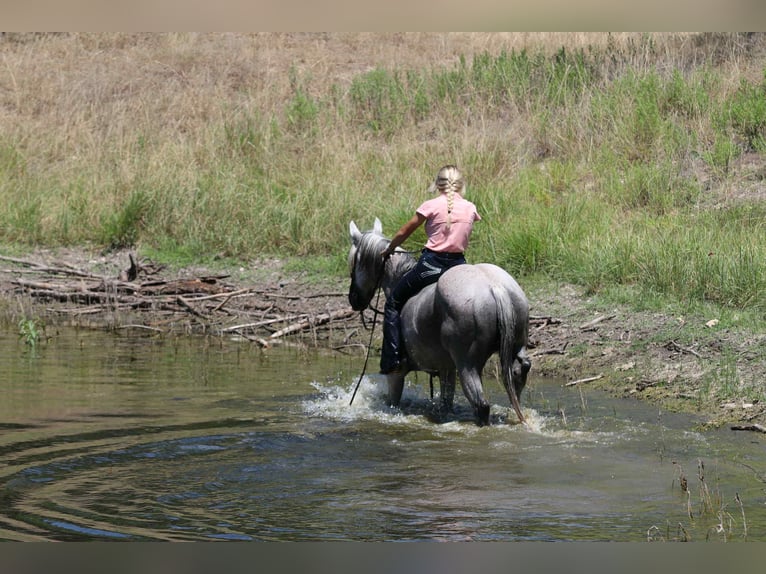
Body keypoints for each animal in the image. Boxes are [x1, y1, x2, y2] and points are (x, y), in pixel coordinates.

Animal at [348, 218, 531, 426]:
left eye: (353, 262)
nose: (354, 299)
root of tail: (495, 287)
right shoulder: (446, 369)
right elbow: (446, 402)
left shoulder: (396, 373)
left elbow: (392, 402)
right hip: (515, 348)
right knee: (520, 373)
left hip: (467, 365)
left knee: (481, 405)